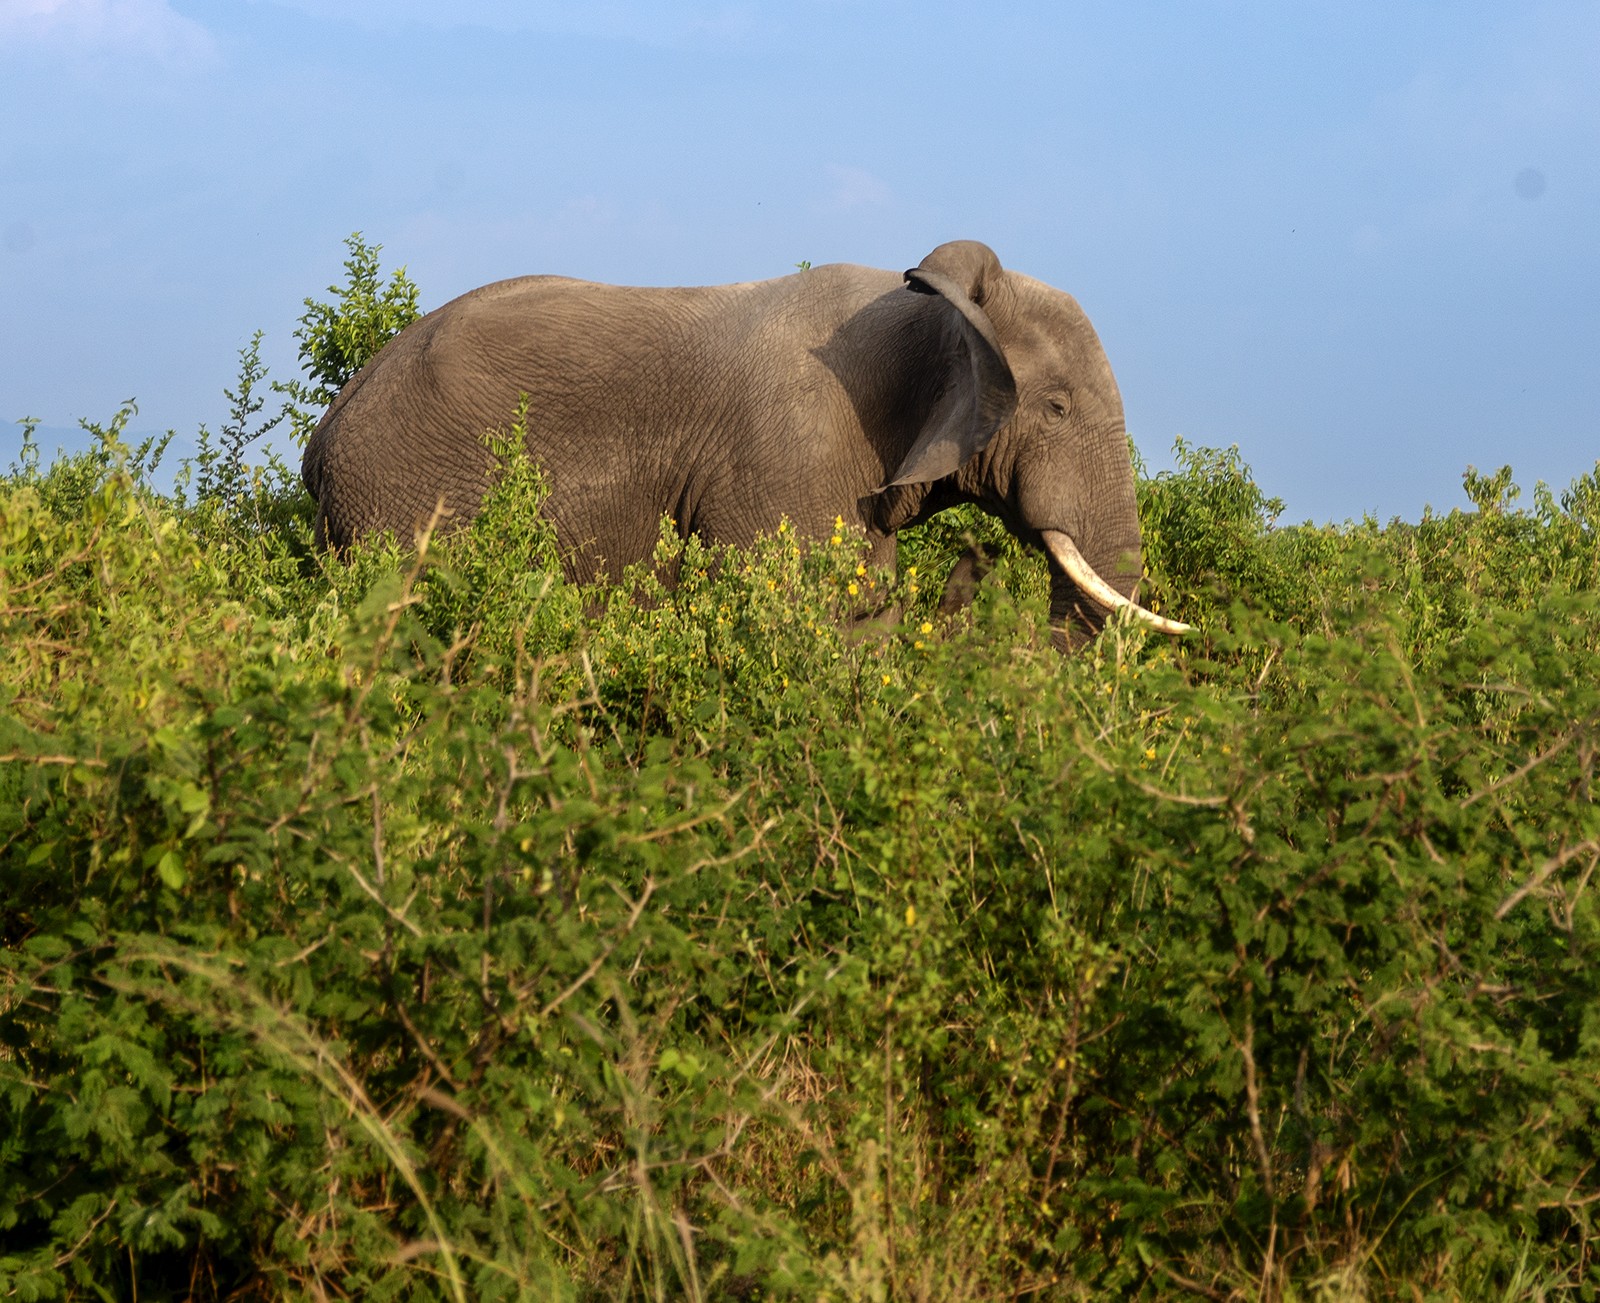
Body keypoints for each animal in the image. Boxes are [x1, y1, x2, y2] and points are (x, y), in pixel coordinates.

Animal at [301, 239, 1188, 647]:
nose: (981, 561)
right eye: (1058, 407)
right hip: (401, 500)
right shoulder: (790, 457)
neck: (927, 306)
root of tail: (326, 429)